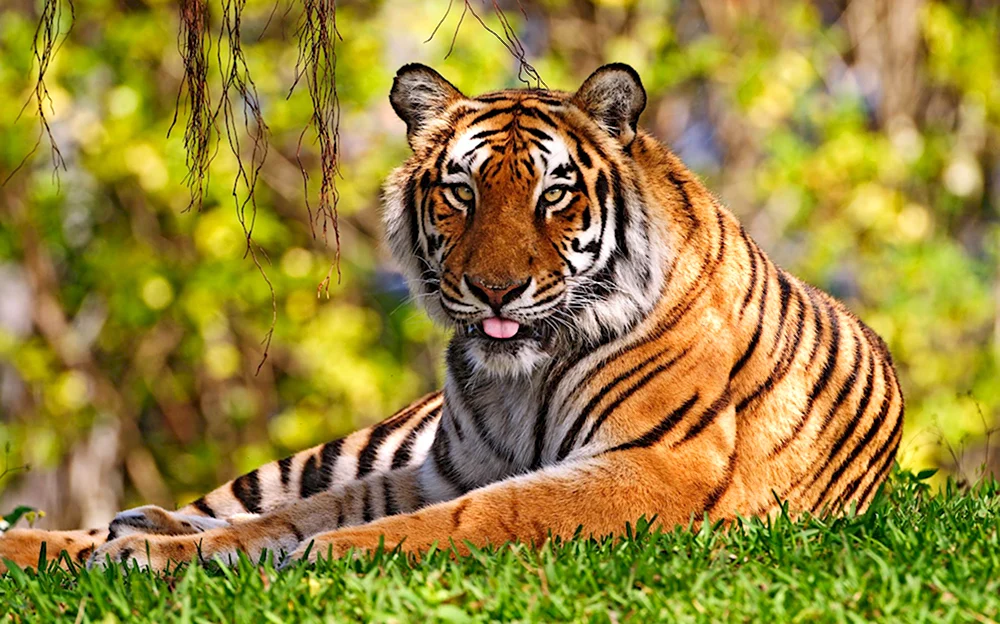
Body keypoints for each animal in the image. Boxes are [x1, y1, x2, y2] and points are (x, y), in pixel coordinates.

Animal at [0, 63, 904, 573]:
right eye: (461, 192)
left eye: (554, 194)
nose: (494, 289)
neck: (522, 377)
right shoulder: (446, 467)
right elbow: (299, 514)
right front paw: (154, 553)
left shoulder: (656, 466)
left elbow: (483, 515)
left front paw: (324, 556)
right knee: (231, 501)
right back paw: (102, 534)